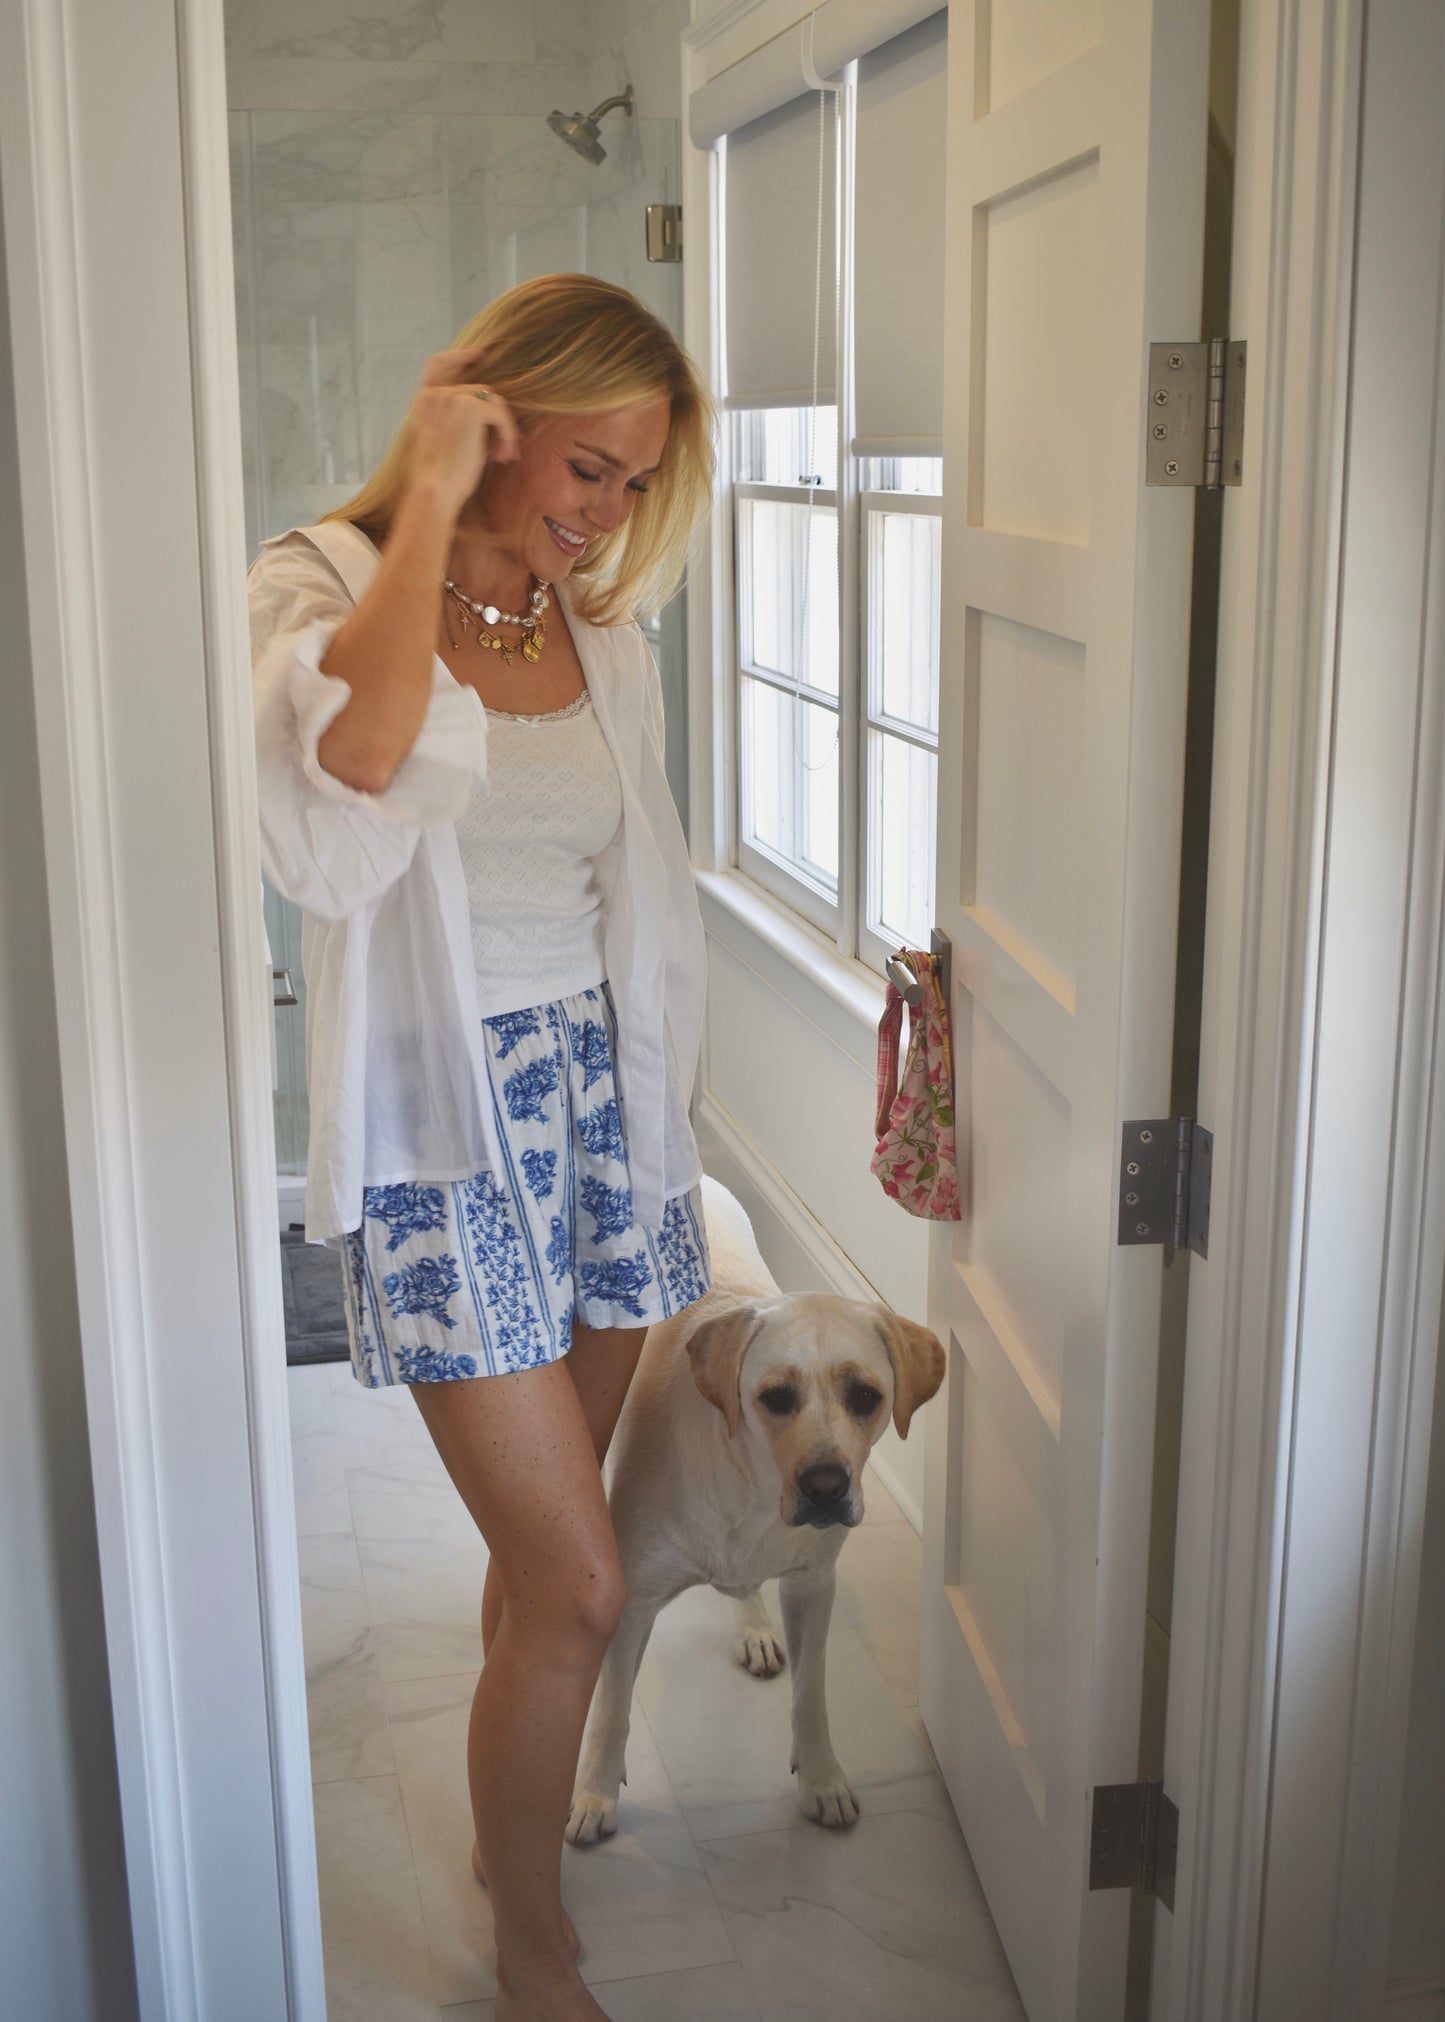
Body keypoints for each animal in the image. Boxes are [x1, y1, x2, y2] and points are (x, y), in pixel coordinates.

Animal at [565, 1172, 949, 1852]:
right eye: (775, 1397)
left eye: (866, 1396)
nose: (826, 1487)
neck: (750, 1491)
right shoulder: (633, 1602)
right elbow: (611, 1711)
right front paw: (594, 1796)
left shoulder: (812, 1587)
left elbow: (811, 1695)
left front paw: (822, 1780)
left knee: (748, 1591)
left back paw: (754, 1626)